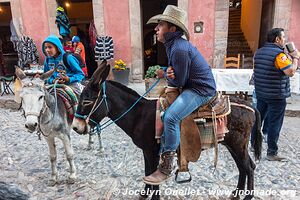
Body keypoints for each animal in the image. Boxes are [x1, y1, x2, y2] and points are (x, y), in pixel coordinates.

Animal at [71, 63, 262, 200]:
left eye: (87, 101)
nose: (75, 127)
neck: (139, 114)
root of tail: (249, 105)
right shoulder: (147, 151)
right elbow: (147, 172)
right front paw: (144, 194)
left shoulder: (152, 151)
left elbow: (153, 176)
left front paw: (152, 196)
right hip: (231, 145)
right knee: (243, 167)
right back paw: (237, 194)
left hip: (237, 144)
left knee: (249, 167)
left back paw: (248, 196)